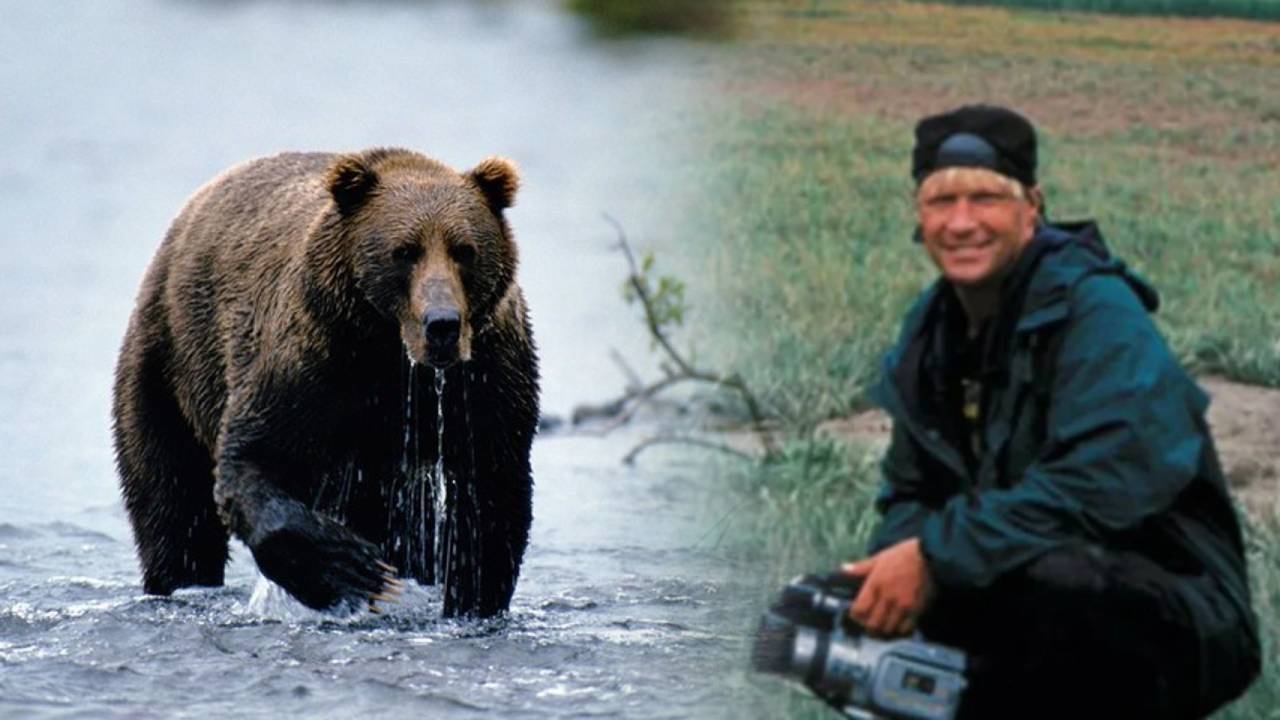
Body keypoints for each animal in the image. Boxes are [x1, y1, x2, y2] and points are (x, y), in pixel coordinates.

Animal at [111, 148, 538, 618]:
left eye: (464, 250)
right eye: (404, 251)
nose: (441, 324)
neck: (391, 355)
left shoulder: (485, 377)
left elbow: (490, 496)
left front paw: (469, 600)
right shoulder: (314, 361)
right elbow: (253, 459)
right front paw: (355, 570)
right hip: (167, 361)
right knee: (173, 503)